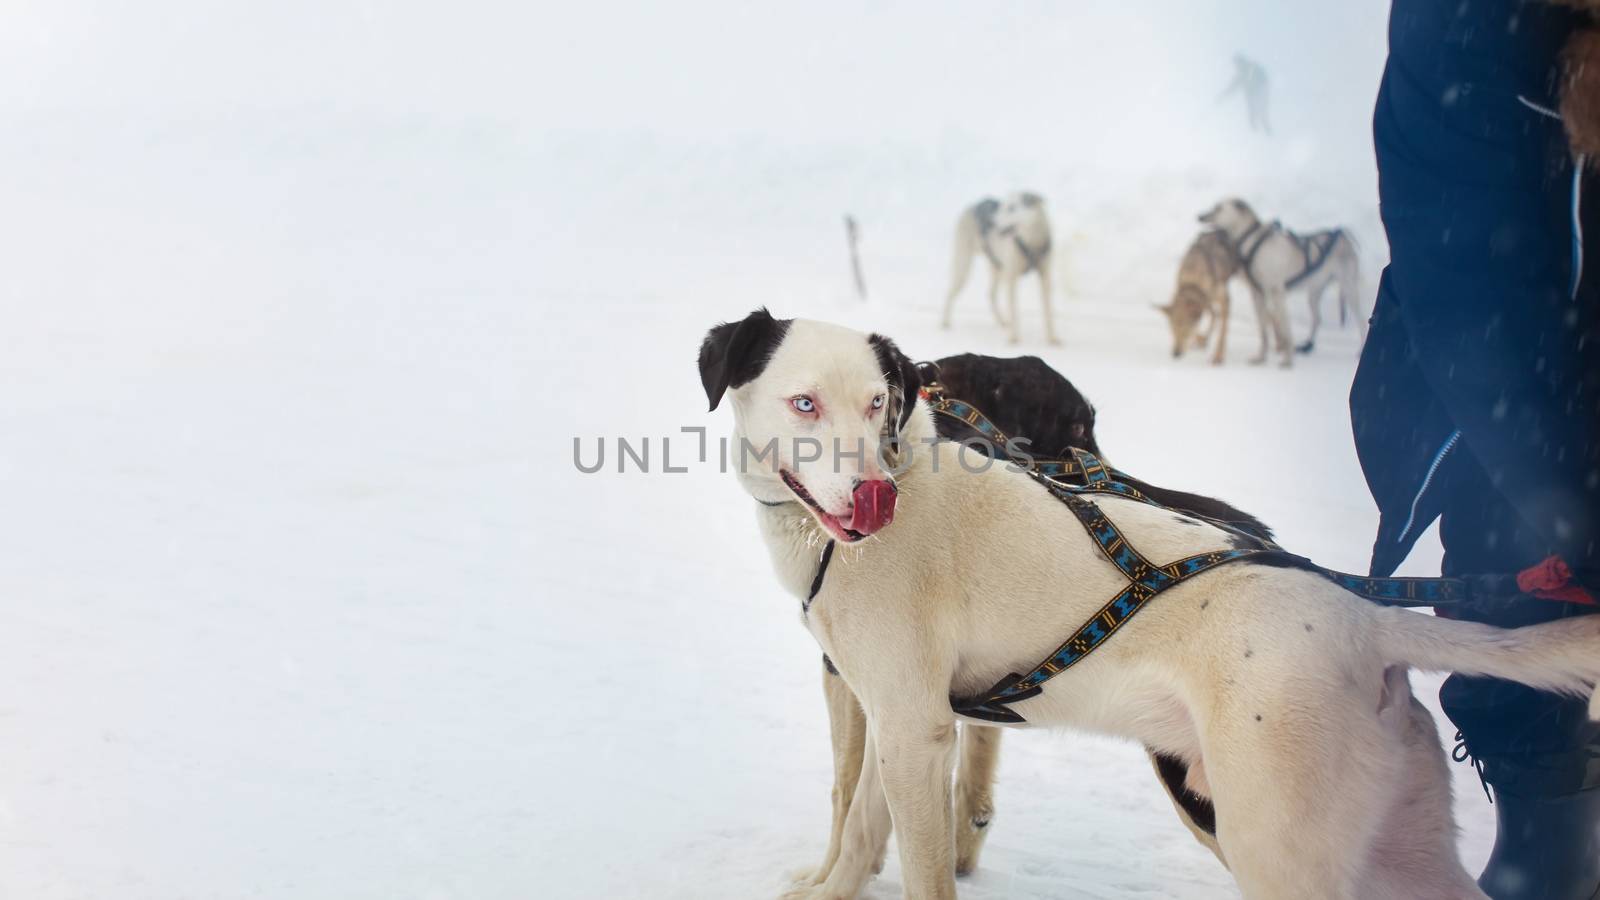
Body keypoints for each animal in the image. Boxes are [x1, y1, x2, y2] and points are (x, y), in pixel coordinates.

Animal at [697, 304, 1600, 890]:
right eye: (804, 402)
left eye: (877, 402)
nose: (874, 499)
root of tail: (1365, 621)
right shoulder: (897, 717)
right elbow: (857, 830)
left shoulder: (912, 728)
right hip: (1390, 847)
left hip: (1274, 840)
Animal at [934, 192, 1062, 342]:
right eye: (1003, 207)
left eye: (1012, 208)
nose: (992, 222)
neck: (1031, 243)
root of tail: (973, 205)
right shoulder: (1011, 278)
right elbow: (1013, 309)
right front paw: (1013, 338)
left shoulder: (1045, 277)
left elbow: (1048, 311)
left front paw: (1052, 338)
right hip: (963, 265)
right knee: (950, 292)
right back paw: (945, 322)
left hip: (997, 268)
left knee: (991, 294)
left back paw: (1001, 320)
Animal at [1203, 197, 1363, 366]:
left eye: (1218, 208)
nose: (1200, 216)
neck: (1252, 241)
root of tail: (1344, 237)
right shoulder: (1258, 294)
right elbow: (1264, 328)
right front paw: (1262, 356)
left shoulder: (1277, 293)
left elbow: (1284, 327)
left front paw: (1287, 358)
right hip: (1314, 293)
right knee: (1317, 319)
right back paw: (1308, 346)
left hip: (1349, 288)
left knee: (1362, 320)